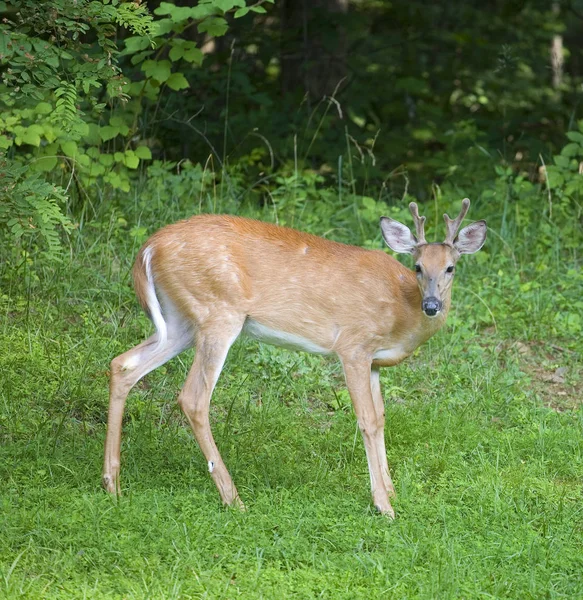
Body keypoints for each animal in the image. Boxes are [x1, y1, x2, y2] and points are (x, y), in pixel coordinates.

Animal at [102, 199, 486, 516]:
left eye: (450, 267)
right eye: (418, 266)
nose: (432, 305)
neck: (401, 308)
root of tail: (148, 248)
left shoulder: (375, 362)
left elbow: (380, 418)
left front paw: (391, 492)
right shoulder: (353, 345)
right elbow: (366, 420)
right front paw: (383, 505)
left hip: (179, 321)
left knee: (123, 364)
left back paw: (112, 485)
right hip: (217, 311)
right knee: (193, 398)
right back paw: (233, 499)